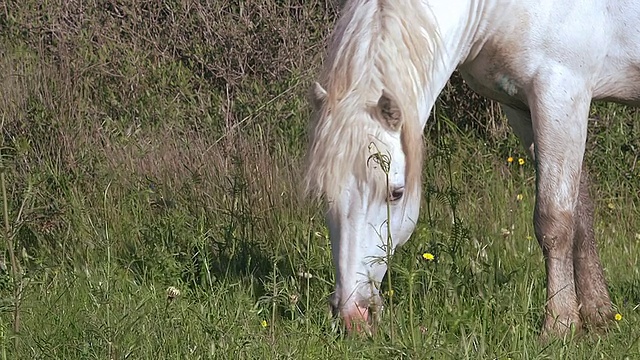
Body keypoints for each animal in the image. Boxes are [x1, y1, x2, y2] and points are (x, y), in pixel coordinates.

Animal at [304, 0, 640, 338]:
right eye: (323, 196)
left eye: (396, 193)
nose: (352, 316)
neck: (499, 9)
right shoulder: (521, 107)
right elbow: (580, 210)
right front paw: (599, 314)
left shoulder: (560, 94)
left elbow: (554, 220)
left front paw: (559, 324)